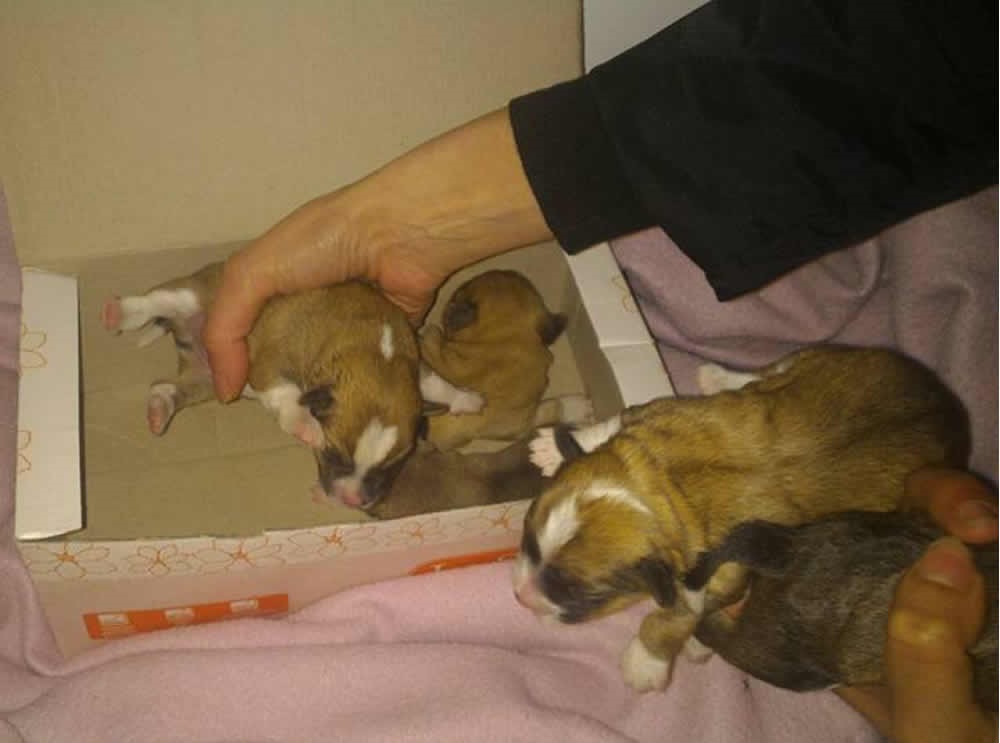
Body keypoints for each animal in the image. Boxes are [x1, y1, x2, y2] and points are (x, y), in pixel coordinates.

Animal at [102, 260, 483, 507]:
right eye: (331, 454)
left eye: (394, 465)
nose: (352, 500)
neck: (373, 349)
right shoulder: (267, 368)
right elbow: (288, 394)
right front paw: (304, 424)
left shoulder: (414, 367)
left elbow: (436, 383)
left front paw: (467, 399)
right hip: (192, 294)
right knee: (155, 299)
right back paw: (118, 312)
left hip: (207, 380)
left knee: (165, 385)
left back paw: (158, 411)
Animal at [511, 345, 970, 692]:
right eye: (526, 542)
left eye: (576, 594)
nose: (519, 595)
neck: (660, 489)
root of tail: (951, 405)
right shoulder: (653, 419)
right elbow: (615, 422)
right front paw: (557, 446)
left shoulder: (725, 567)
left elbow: (681, 611)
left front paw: (645, 663)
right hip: (824, 356)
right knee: (768, 373)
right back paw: (717, 377)